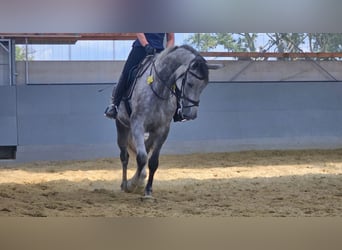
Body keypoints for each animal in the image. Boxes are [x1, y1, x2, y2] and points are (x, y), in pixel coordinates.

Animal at [113, 44, 219, 197]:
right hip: (122, 126)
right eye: (190, 83)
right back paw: (124, 184)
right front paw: (134, 184)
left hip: (151, 132)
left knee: (145, 149)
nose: (191, 114)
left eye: (204, 86)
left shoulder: (163, 130)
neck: (159, 89)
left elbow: (153, 162)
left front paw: (148, 190)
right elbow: (141, 158)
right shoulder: (137, 125)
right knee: (125, 156)